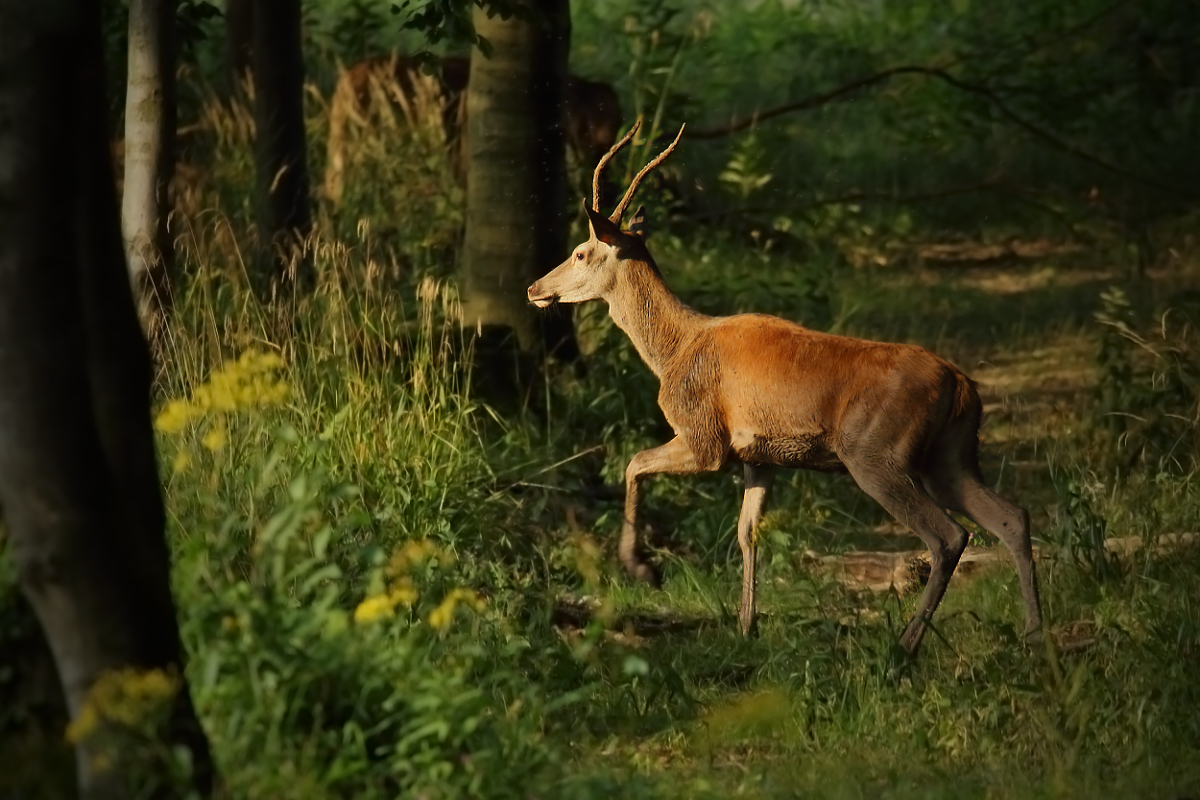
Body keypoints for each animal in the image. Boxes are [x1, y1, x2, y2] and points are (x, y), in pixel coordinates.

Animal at [525, 118, 1041, 657]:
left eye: (581, 251)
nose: (534, 288)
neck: (672, 351)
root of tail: (962, 385)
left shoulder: (705, 437)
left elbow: (634, 463)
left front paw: (641, 566)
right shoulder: (759, 456)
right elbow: (747, 531)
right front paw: (746, 625)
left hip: (877, 454)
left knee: (947, 537)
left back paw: (906, 644)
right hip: (949, 456)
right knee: (1012, 517)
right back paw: (1033, 633)